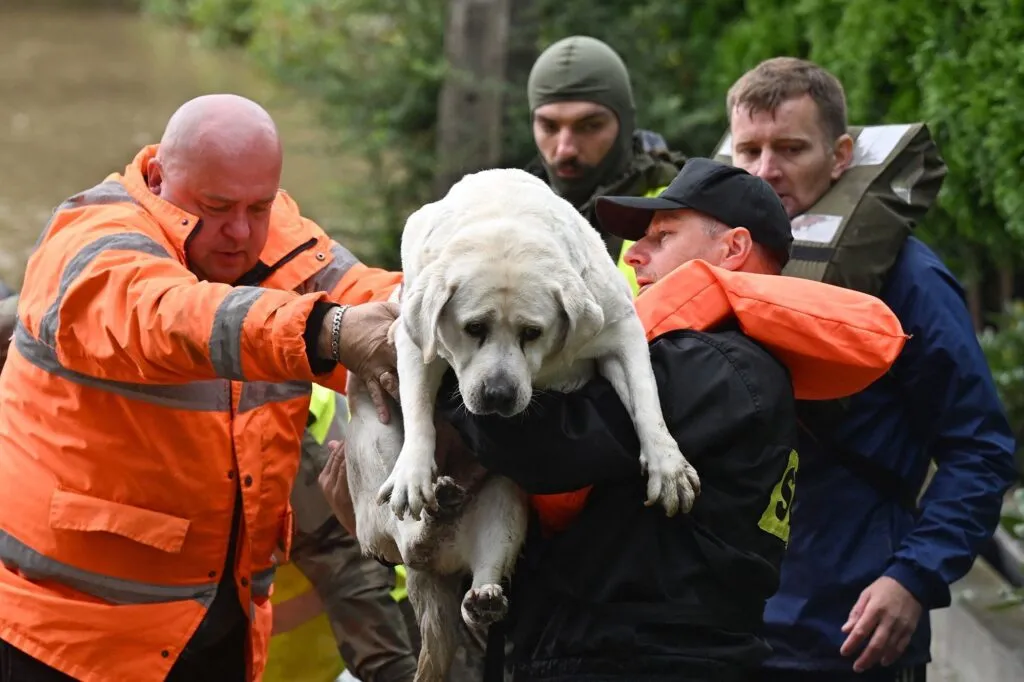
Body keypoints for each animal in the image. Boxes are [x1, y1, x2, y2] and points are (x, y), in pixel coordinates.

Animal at [348, 165, 700, 679]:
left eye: (532, 332)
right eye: (474, 328)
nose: (498, 395)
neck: (505, 222)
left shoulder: (620, 330)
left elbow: (647, 399)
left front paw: (668, 467)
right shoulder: (411, 340)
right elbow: (416, 409)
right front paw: (414, 471)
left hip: (506, 501)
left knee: (477, 564)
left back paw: (481, 591)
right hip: (372, 457)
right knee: (405, 536)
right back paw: (431, 504)